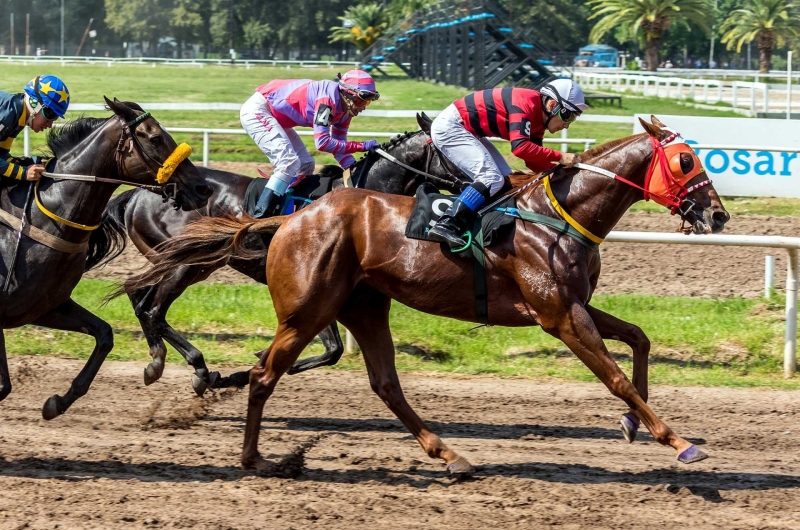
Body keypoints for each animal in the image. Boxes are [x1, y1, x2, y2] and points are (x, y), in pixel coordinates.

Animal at [0, 96, 212, 416]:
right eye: (155, 138)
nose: (203, 188)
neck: (42, 219)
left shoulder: (45, 306)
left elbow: (105, 335)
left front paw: (58, 402)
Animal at [95, 116, 468, 396]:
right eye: (456, 146)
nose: (478, 182)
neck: (364, 203)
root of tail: (136, 195)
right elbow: (327, 349)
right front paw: (237, 372)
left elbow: (332, 350)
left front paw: (247, 367)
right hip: (189, 263)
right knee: (153, 309)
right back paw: (197, 368)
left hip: (170, 262)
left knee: (138, 296)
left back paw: (159, 361)